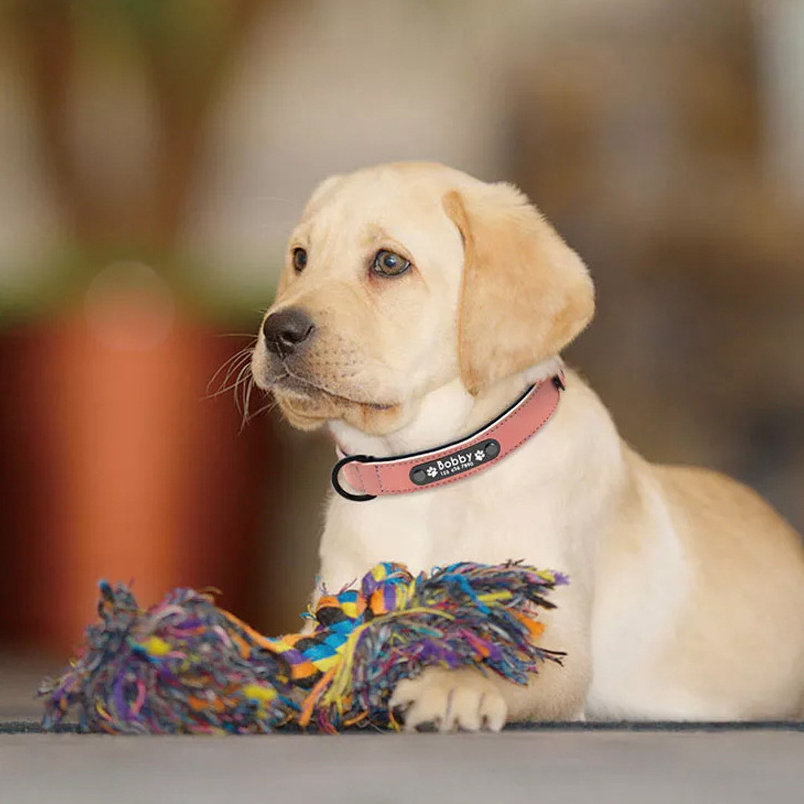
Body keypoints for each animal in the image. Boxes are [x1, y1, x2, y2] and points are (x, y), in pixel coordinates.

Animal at [250, 162, 804, 728]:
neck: (426, 468)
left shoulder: (558, 634)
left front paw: (453, 683)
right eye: (300, 258)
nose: (278, 330)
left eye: (389, 262)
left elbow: (506, 652)